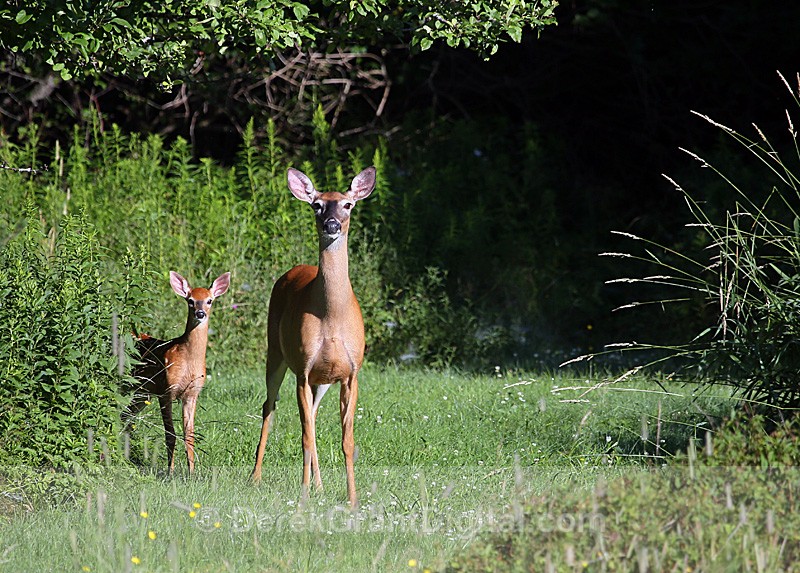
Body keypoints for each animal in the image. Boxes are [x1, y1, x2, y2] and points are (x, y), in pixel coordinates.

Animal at [123, 271, 231, 474]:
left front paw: (192, 472)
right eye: (190, 300)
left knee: (126, 416)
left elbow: (189, 435)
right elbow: (170, 434)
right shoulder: (166, 391)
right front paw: (170, 471)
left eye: (209, 300)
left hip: (142, 393)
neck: (188, 362)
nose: (200, 313)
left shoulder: (192, 394)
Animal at [251, 166, 376, 508]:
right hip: (275, 353)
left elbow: (347, 441)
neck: (331, 318)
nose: (331, 224)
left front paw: (352, 499)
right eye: (316, 205)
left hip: (322, 381)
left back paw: (320, 486)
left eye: (348, 204)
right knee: (270, 406)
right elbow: (305, 437)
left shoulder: (351, 374)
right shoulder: (303, 370)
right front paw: (304, 496)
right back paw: (256, 477)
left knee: (314, 417)